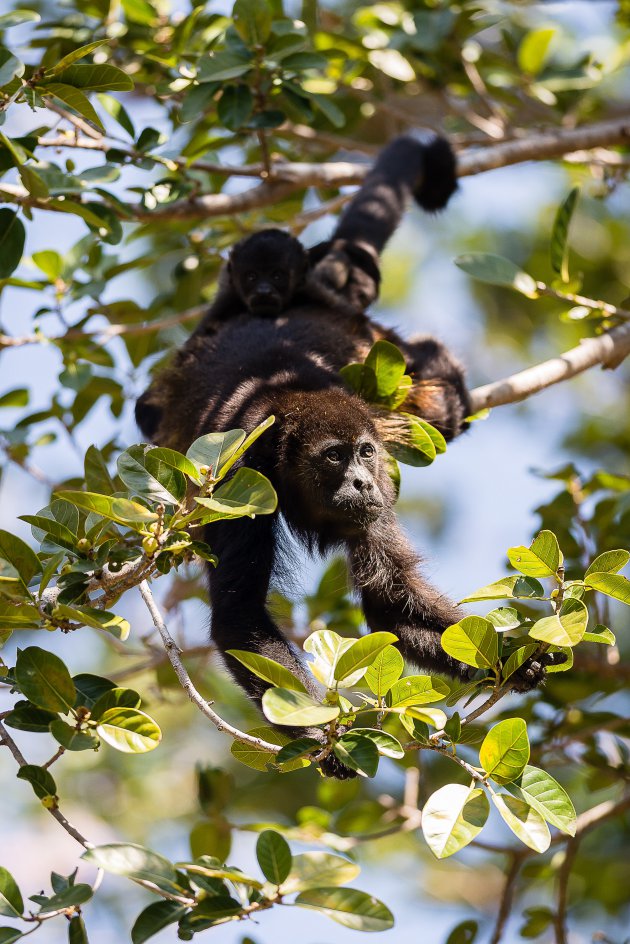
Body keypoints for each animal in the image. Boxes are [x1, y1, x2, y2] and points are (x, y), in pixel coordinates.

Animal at [137, 135, 548, 780]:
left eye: (363, 452)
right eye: (333, 457)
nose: (360, 482)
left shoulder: (382, 490)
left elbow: (388, 601)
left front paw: (506, 655)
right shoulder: (238, 482)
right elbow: (240, 618)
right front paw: (324, 733)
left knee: (422, 368)